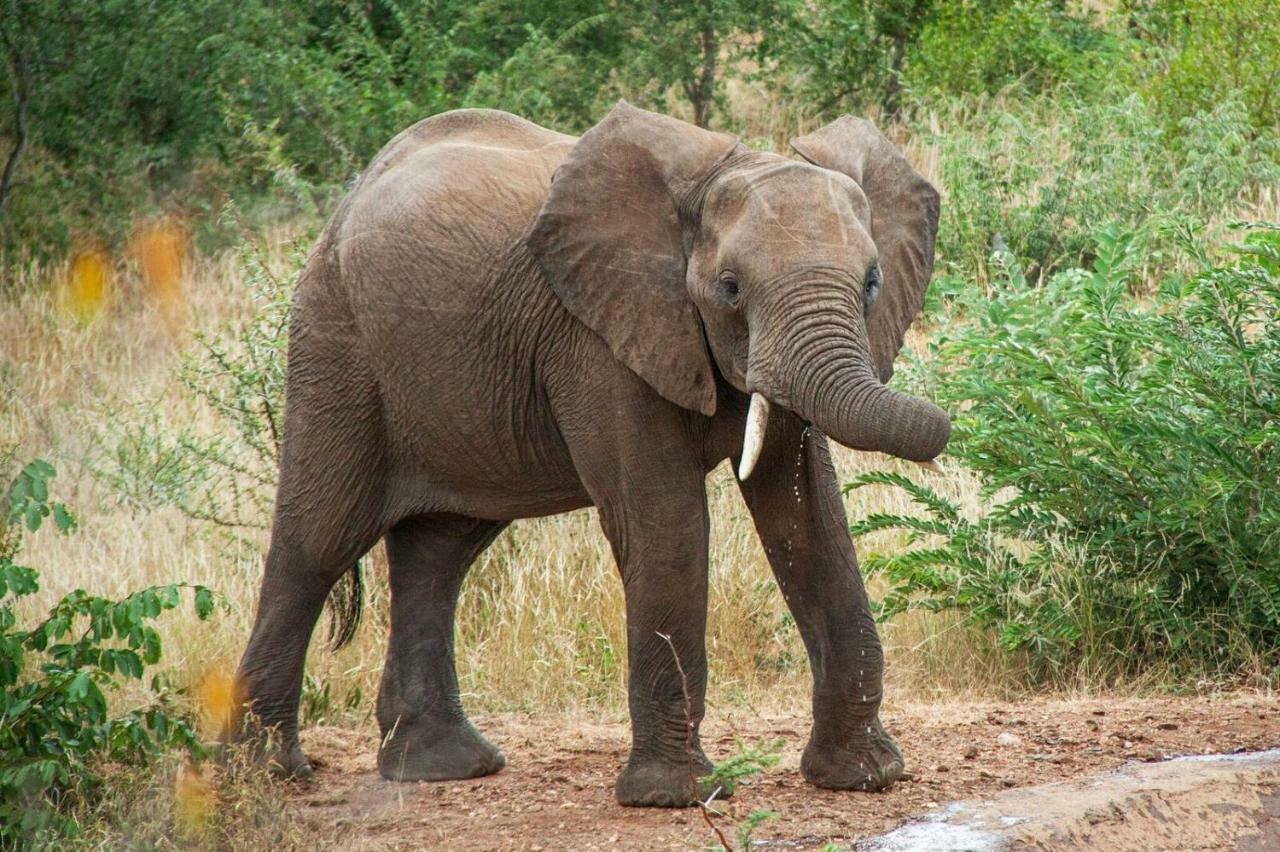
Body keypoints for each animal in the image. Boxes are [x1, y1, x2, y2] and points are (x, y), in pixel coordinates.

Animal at [232, 99, 952, 803]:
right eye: (729, 288)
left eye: (872, 283)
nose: (944, 425)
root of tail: (347, 203)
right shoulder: (599, 340)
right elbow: (665, 522)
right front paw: (677, 797)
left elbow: (808, 518)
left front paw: (866, 777)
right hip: (337, 339)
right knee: (319, 539)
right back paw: (263, 774)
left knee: (440, 550)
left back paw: (442, 767)